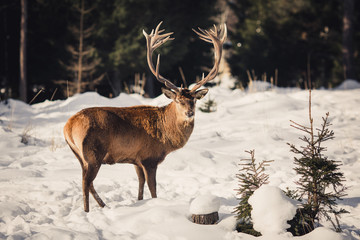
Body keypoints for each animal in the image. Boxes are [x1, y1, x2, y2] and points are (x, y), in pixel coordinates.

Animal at [63, 21, 226, 211]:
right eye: (178, 100)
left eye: (193, 100)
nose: (190, 113)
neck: (166, 136)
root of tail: (68, 127)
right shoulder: (149, 158)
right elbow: (153, 189)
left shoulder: (136, 159)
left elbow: (140, 186)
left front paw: (140, 203)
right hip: (93, 153)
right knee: (85, 182)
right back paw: (89, 211)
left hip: (80, 155)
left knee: (87, 182)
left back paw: (103, 205)